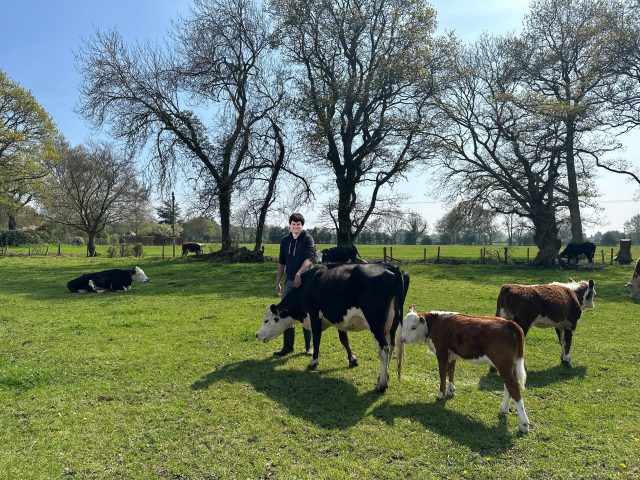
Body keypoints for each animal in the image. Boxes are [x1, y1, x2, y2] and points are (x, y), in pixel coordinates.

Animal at [256, 263, 409, 392]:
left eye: (266, 320)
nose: (257, 334)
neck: (308, 283)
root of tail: (391, 267)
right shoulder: (339, 320)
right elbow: (344, 340)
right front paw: (352, 359)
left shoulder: (314, 315)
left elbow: (316, 340)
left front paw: (313, 362)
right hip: (392, 324)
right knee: (391, 346)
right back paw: (385, 377)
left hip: (376, 324)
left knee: (384, 349)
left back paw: (381, 384)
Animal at [397, 308, 529, 433]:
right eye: (403, 326)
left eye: (413, 327)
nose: (403, 339)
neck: (435, 323)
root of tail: (509, 323)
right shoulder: (452, 355)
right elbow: (451, 372)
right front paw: (451, 390)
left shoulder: (441, 352)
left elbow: (442, 374)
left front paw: (441, 394)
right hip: (509, 367)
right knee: (508, 386)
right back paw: (504, 409)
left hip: (503, 364)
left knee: (513, 387)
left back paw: (524, 424)